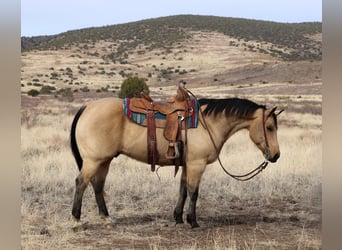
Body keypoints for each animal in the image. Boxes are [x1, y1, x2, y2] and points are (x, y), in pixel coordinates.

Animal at [70, 91, 284, 229]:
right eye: (270, 127)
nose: (275, 155)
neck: (208, 123)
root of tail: (87, 107)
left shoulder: (187, 165)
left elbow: (182, 190)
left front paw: (178, 218)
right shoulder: (197, 165)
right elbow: (194, 192)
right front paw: (193, 221)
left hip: (104, 160)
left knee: (97, 185)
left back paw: (106, 218)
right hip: (93, 160)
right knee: (81, 183)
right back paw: (76, 220)